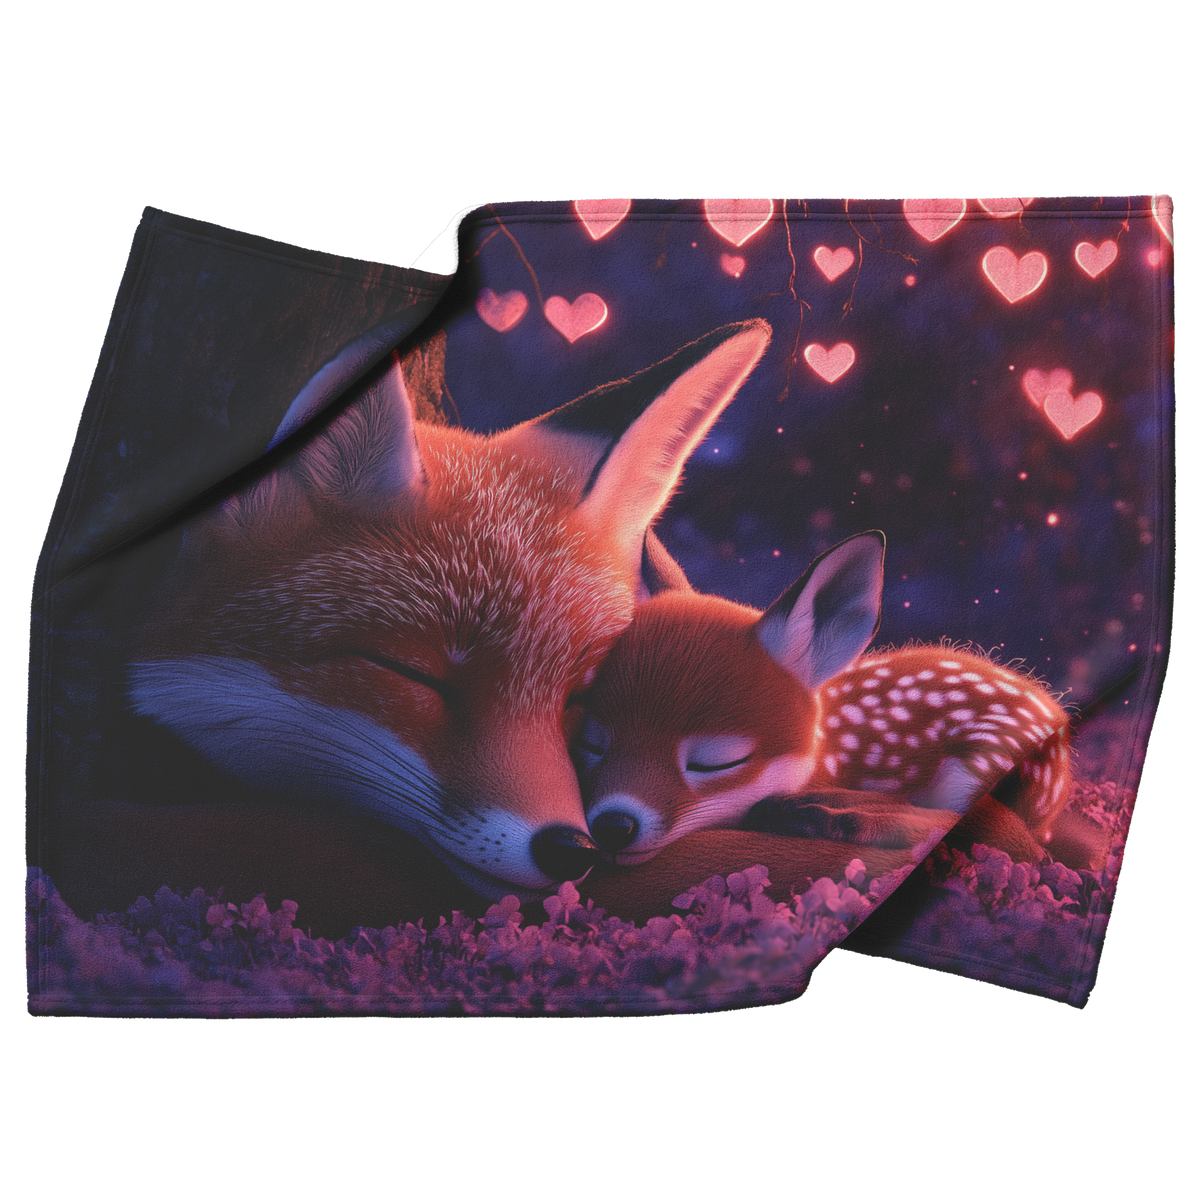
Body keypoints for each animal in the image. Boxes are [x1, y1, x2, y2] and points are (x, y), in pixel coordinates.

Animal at [574, 531, 1078, 871]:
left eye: (716, 762)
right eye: (593, 744)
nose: (613, 825)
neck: (824, 756)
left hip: (980, 764)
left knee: (1004, 837)